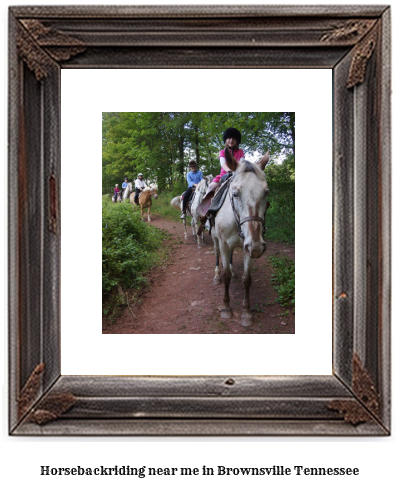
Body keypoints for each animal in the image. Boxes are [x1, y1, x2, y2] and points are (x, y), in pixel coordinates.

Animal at [212, 150, 268, 326]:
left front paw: (246, 313)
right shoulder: (224, 244)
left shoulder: (248, 247)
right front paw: (226, 308)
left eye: (266, 192)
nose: (257, 248)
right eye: (235, 193)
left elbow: (246, 279)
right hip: (216, 240)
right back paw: (216, 276)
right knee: (216, 254)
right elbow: (226, 276)